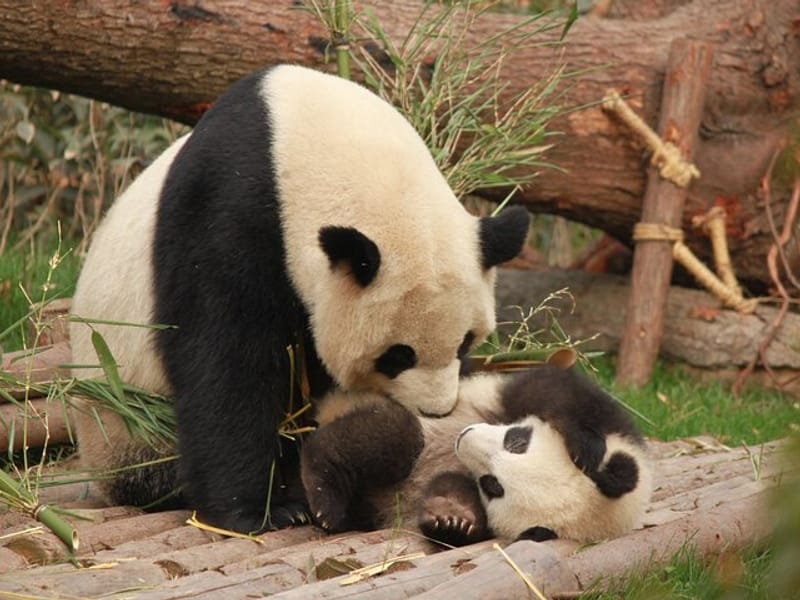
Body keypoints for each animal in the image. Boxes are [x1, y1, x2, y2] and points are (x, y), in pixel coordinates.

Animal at [68, 65, 530, 534]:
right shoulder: (225, 213)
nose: (435, 411)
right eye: (398, 355)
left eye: (465, 342)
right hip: (125, 421)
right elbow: (226, 364)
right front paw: (258, 511)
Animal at [301, 365, 652, 545]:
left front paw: (452, 518)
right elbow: (555, 389)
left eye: (492, 485)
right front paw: (584, 444)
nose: (464, 437)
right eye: (517, 441)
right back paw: (324, 497)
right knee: (394, 437)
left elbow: (455, 491)